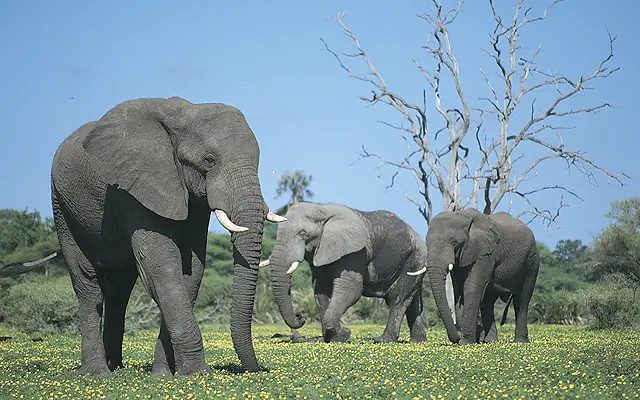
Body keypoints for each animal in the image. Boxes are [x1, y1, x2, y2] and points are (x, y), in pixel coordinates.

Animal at [0, 96, 284, 376]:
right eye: (209, 160)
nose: (255, 370)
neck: (184, 116)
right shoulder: (137, 187)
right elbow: (162, 265)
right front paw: (196, 373)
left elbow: (192, 269)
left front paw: (164, 375)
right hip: (61, 206)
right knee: (88, 283)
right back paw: (97, 373)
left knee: (119, 289)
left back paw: (116, 367)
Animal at [260, 203, 430, 344]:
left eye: (303, 234)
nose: (300, 317)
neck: (321, 209)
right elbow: (320, 290)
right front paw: (333, 338)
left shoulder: (355, 253)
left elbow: (351, 289)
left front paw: (344, 334)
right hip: (416, 260)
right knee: (412, 301)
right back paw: (418, 341)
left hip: (415, 257)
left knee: (398, 299)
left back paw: (383, 340)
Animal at [412, 209, 536, 344]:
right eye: (427, 241)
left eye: (454, 242)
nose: (457, 338)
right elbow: (458, 292)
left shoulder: (486, 253)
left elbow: (471, 288)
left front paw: (465, 343)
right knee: (488, 302)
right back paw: (491, 341)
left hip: (531, 259)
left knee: (522, 299)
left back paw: (520, 341)